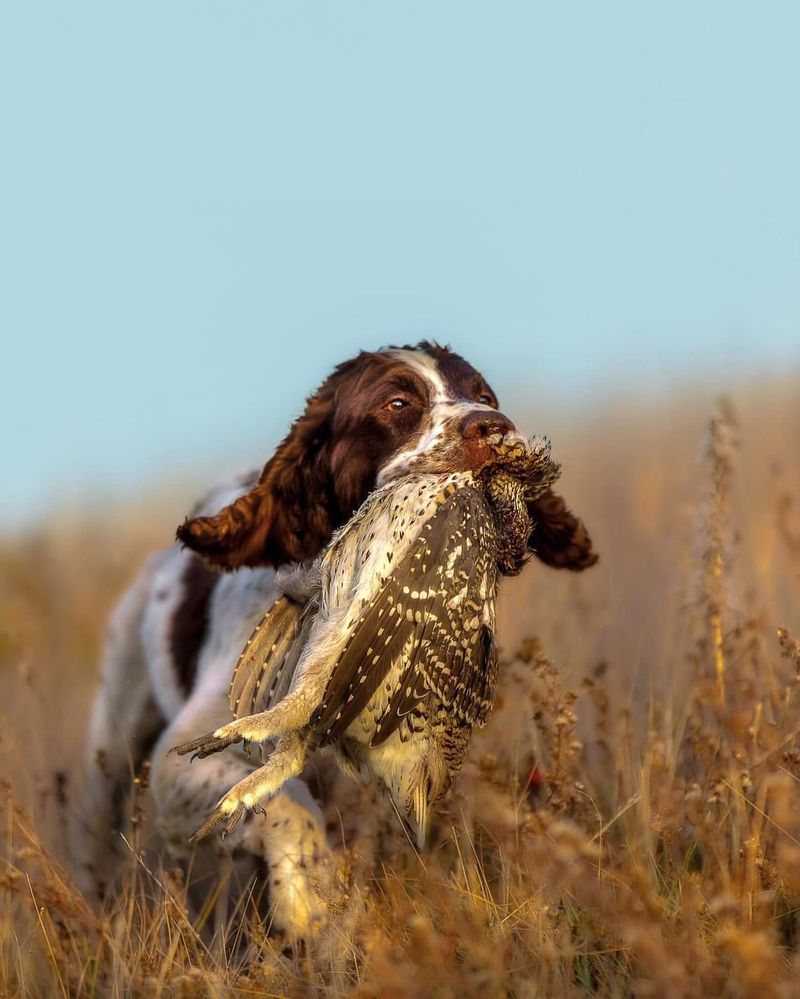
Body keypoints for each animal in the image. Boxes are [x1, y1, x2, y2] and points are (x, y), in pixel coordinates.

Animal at [78, 342, 596, 936]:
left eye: (485, 395)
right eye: (397, 403)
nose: (495, 426)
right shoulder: (176, 762)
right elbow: (288, 799)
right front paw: (309, 899)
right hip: (113, 740)